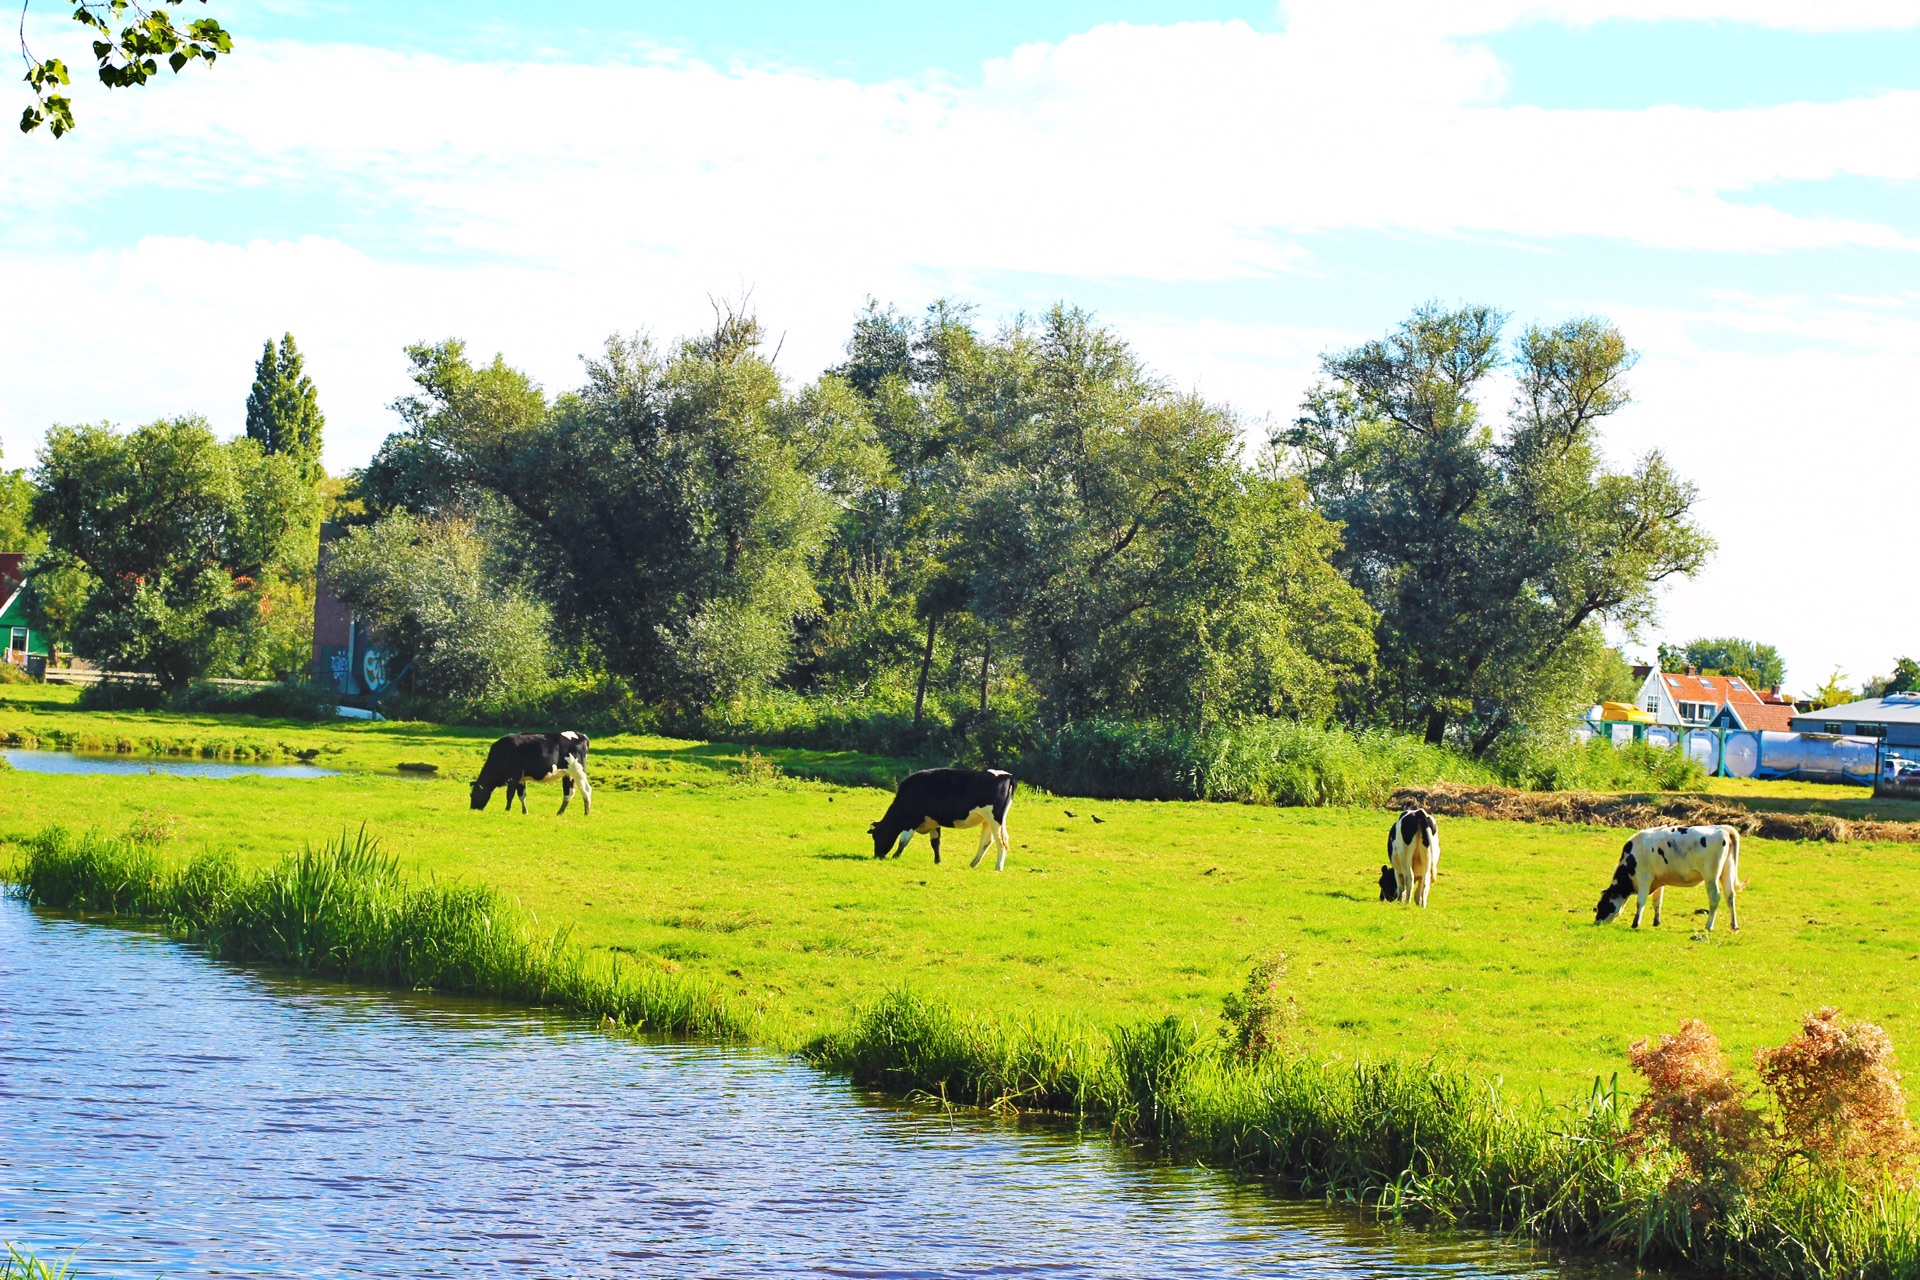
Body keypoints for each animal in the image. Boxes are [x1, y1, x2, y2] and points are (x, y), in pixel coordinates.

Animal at [871, 771, 1021, 871]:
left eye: (877, 836)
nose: (877, 855)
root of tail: (1007, 775)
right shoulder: (933, 822)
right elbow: (935, 843)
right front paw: (937, 861)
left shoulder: (911, 821)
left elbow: (903, 841)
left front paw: (895, 856)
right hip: (987, 821)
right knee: (986, 841)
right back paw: (973, 864)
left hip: (996, 819)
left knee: (1002, 842)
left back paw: (998, 867)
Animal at [1589, 832, 1743, 932]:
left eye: (1602, 905)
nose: (1596, 922)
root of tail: (1723, 828)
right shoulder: (1659, 881)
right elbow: (1657, 902)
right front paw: (1656, 922)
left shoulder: (1644, 878)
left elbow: (1640, 902)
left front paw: (1635, 923)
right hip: (1726, 872)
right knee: (1730, 896)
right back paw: (1734, 925)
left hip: (1711, 876)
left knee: (1715, 897)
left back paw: (1709, 926)